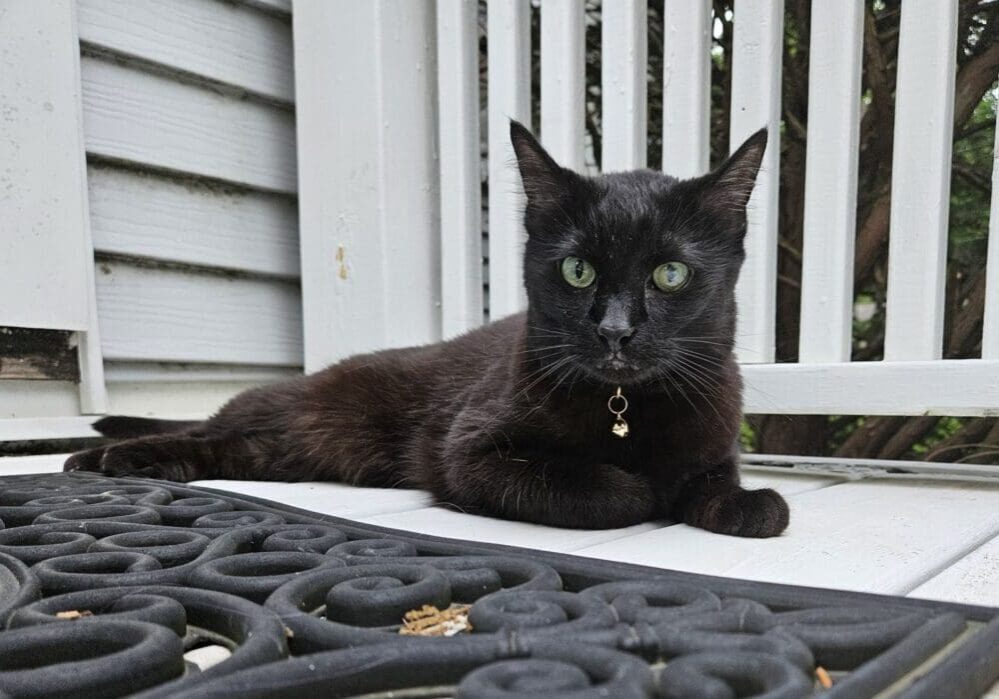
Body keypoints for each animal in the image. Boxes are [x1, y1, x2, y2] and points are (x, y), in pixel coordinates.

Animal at [68, 121, 788, 536]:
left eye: (670, 274)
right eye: (578, 269)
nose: (614, 331)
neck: (627, 411)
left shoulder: (713, 441)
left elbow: (727, 491)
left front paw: (745, 504)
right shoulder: (467, 452)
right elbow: (610, 491)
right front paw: (640, 487)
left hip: (285, 452)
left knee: (227, 450)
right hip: (287, 413)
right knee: (207, 428)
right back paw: (100, 458)